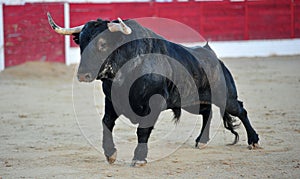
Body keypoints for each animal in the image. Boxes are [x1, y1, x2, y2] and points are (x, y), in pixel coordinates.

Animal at [48, 17, 258, 166]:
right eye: (82, 44)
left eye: (103, 44)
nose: (83, 75)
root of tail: (214, 57)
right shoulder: (111, 101)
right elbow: (106, 123)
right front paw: (110, 154)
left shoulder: (154, 104)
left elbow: (143, 130)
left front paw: (139, 158)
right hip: (191, 101)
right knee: (207, 112)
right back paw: (202, 141)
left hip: (226, 98)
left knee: (240, 110)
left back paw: (254, 140)